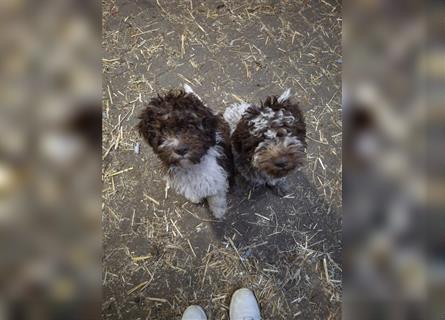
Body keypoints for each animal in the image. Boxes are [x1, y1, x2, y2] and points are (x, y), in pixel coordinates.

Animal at [137, 85, 231, 219]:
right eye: (163, 129)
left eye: (191, 126)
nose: (181, 149)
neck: (191, 165)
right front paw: (195, 197)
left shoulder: (217, 172)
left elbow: (216, 195)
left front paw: (218, 211)